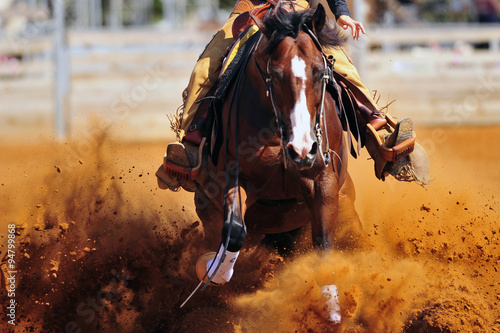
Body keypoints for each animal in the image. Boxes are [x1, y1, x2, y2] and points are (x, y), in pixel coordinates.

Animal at [190, 3, 364, 286]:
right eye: (274, 75)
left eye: (320, 71)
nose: (303, 149)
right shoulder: (234, 179)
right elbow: (234, 231)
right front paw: (214, 269)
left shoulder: (324, 182)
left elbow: (324, 247)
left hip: (347, 206)